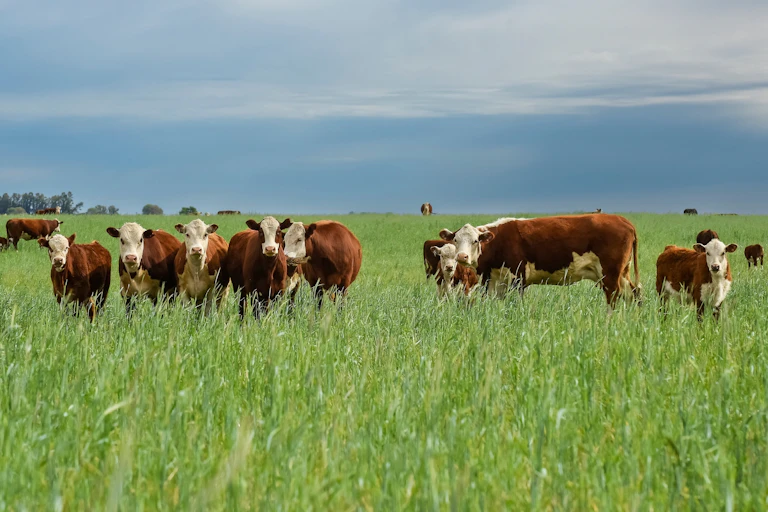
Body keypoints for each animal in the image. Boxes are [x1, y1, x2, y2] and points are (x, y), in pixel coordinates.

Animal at [439, 214, 640, 306]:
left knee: (612, 296)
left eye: (475, 241)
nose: (462, 256)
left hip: (610, 273)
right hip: (621, 272)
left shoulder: (518, 276)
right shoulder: (496, 279)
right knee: (633, 293)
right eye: (455, 240)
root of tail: (623, 220)